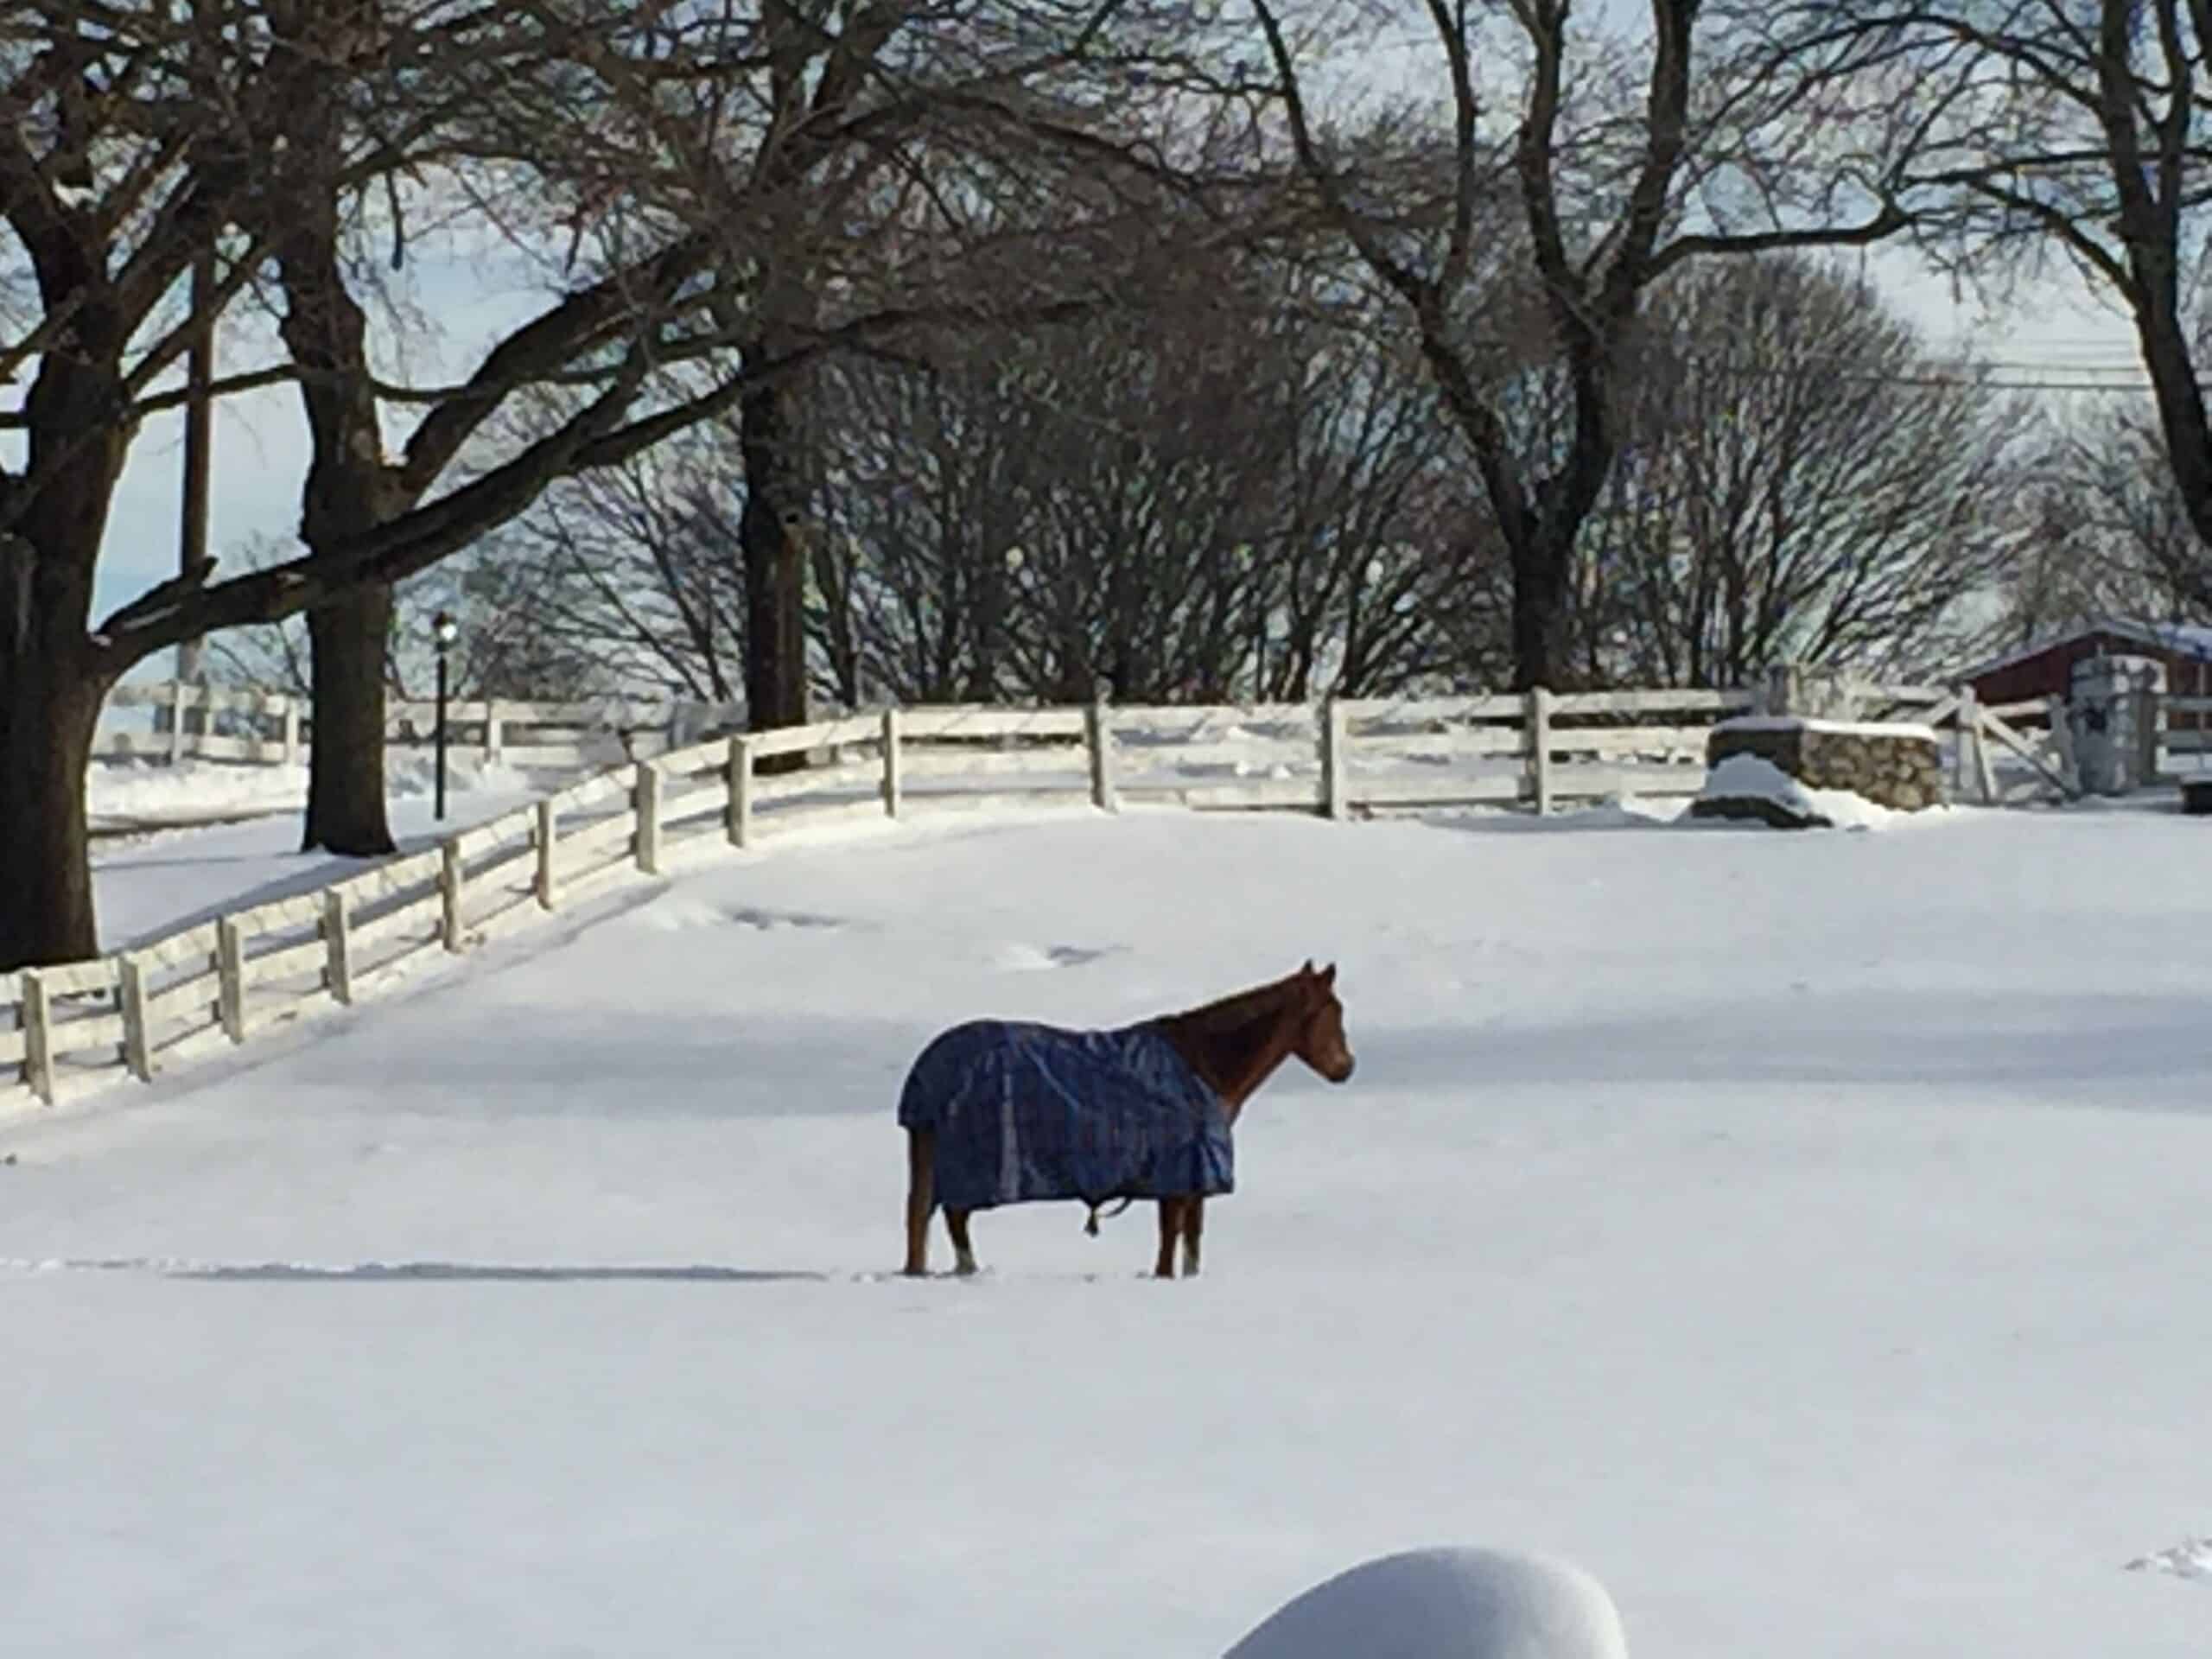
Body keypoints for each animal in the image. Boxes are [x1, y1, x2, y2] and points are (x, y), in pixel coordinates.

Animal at [897, 961, 1355, 1279]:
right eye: (1329, 1012)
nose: (1346, 1069)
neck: (1203, 1067)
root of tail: (926, 1073)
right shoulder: (1179, 1175)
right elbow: (1171, 1243)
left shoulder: (1191, 1180)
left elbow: (1190, 1240)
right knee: (943, 1215)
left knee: (945, 1216)